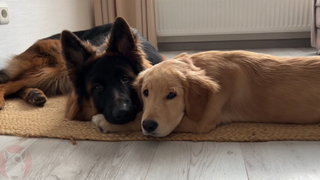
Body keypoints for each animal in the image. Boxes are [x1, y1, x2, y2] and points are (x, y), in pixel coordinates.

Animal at [0, 16, 165, 124]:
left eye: (125, 79)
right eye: (97, 87)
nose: (122, 113)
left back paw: (33, 94)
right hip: (54, 69)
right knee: (9, 84)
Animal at [92, 50, 320, 137]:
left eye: (172, 95)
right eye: (145, 92)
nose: (149, 126)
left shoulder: (200, 122)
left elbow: (137, 119)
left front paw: (104, 121)